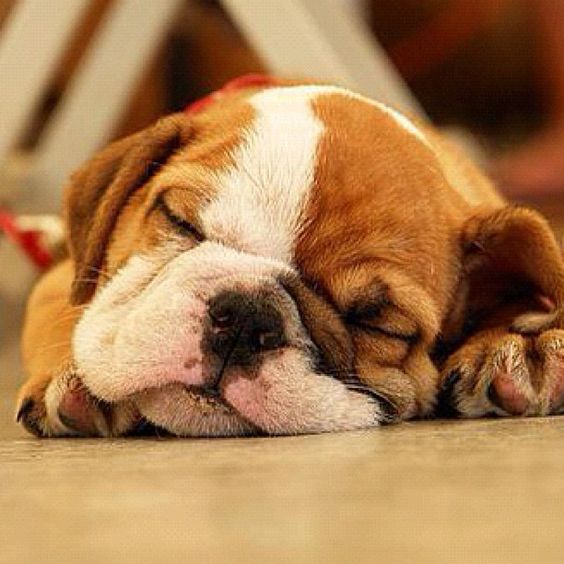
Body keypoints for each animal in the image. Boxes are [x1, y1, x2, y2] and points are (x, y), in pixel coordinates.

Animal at [14, 78, 564, 436]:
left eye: (377, 322)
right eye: (180, 222)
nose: (243, 318)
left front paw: (521, 342)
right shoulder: (59, 276)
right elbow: (67, 309)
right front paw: (70, 375)